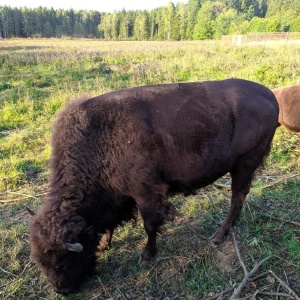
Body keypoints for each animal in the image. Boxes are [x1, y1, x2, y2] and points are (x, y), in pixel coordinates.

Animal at [28, 78, 278, 294]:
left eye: (64, 261)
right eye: (40, 261)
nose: (62, 290)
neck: (100, 141)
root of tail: (270, 95)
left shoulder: (146, 193)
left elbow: (149, 225)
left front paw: (146, 256)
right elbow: (109, 223)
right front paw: (104, 245)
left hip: (244, 164)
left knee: (237, 196)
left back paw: (219, 235)